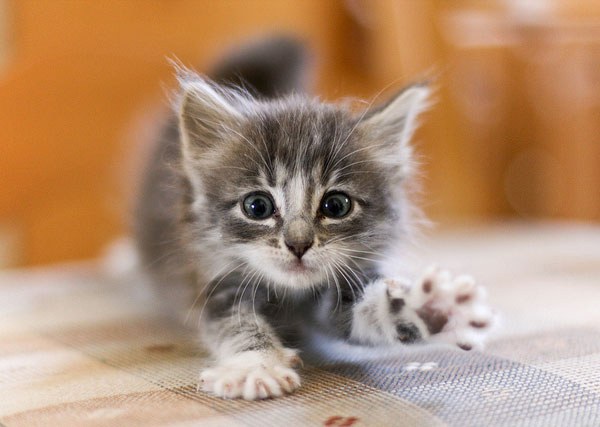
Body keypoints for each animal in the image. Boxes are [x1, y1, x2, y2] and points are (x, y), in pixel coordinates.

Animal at [135, 36, 492, 402]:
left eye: (336, 206)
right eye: (257, 207)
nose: (298, 244)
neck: (290, 297)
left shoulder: (343, 288)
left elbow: (368, 311)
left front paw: (432, 308)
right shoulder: (212, 282)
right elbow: (236, 324)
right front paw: (256, 366)